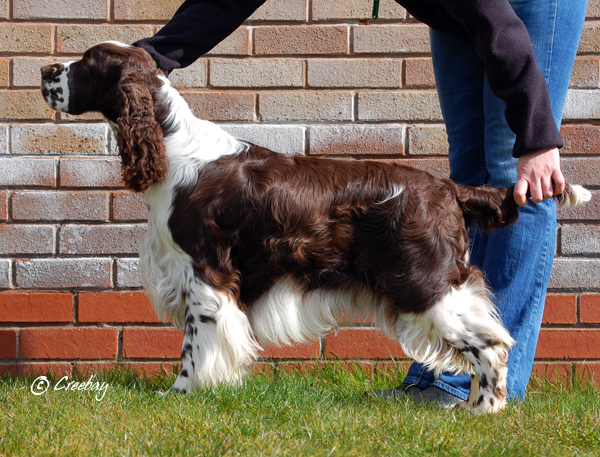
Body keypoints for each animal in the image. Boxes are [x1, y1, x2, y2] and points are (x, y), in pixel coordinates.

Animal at [42, 41, 592, 414]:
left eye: (86, 63)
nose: (45, 69)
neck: (172, 147)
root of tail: (446, 187)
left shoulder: (204, 273)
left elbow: (195, 346)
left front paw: (181, 394)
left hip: (424, 283)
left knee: (494, 345)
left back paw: (484, 411)